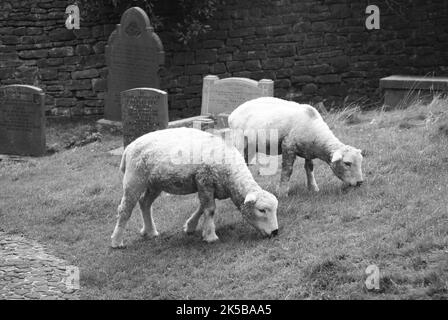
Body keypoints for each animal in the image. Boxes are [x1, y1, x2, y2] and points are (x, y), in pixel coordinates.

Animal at [110, 127, 278, 248]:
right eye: (261, 210)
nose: (275, 232)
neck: (231, 176)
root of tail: (129, 148)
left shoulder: (208, 185)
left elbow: (202, 207)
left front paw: (190, 226)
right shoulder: (205, 180)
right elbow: (210, 209)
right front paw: (210, 236)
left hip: (154, 183)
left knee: (145, 203)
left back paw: (150, 231)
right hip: (134, 179)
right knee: (124, 209)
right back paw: (117, 241)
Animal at [228, 97, 364, 196]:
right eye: (347, 163)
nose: (360, 182)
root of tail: (233, 114)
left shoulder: (308, 150)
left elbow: (309, 168)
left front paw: (313, 188)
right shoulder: (288, 145)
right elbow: (287, 170)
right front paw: (282, 192)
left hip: (250, 146)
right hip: (239, 140)